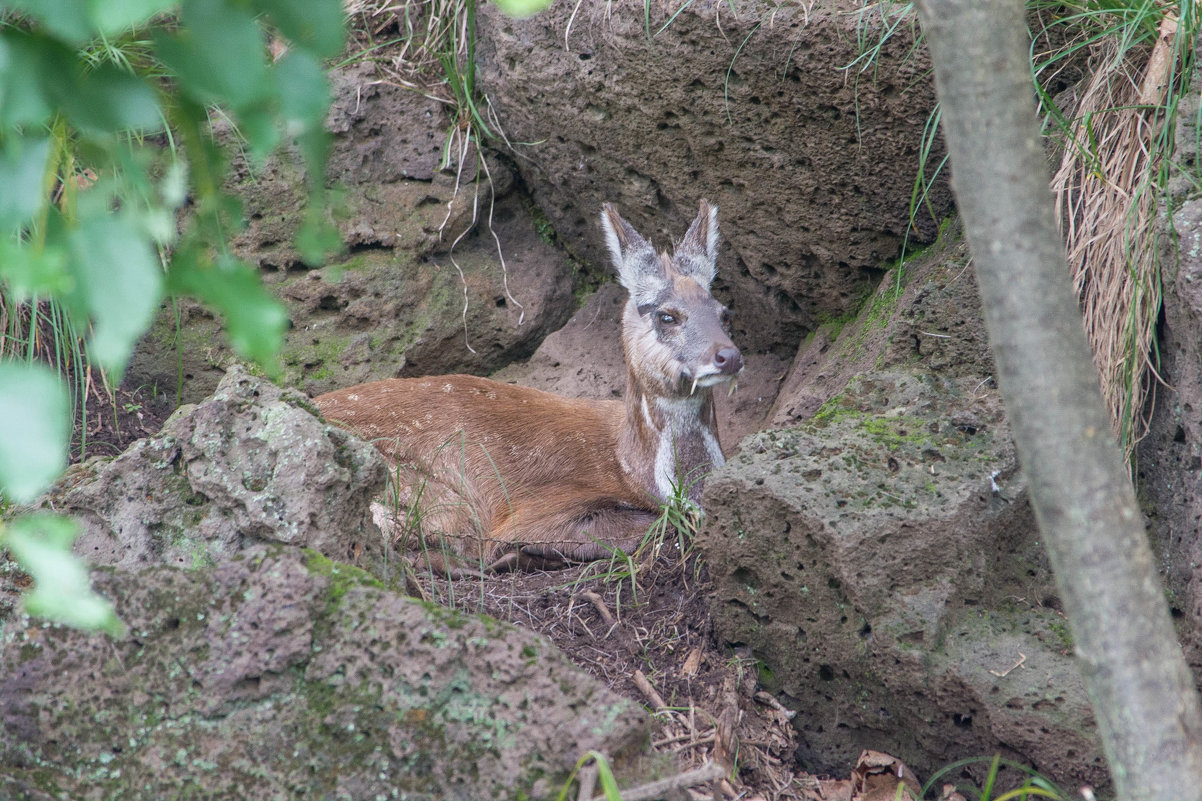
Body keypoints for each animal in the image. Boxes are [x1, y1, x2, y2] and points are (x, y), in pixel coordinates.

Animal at [310, 199, 740, 567]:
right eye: (667, 315)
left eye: (723, 311)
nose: (729, 356)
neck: (632, 473)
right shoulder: (539, 509)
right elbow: (642, 528)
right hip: (426, 493)